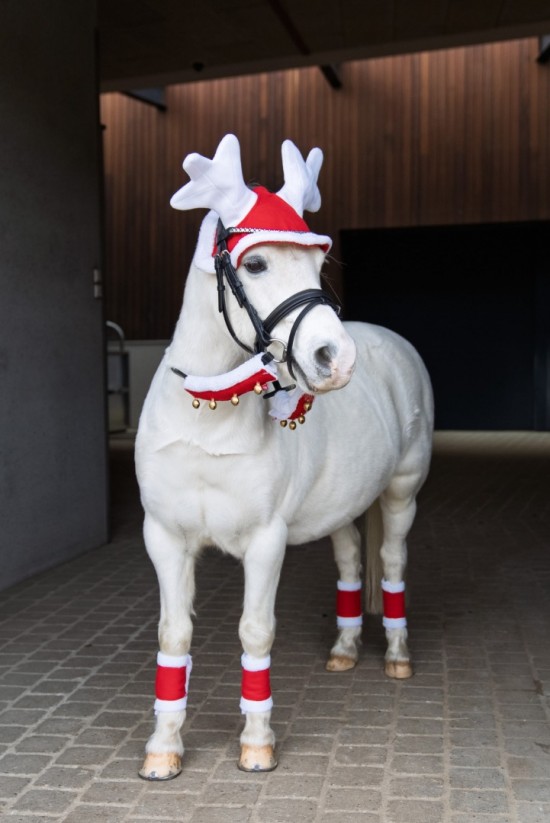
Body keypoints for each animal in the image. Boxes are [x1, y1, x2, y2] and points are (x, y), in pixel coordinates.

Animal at [134, 133, 434, 780]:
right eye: (254, 264)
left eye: (319, 267)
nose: (336, 359)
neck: (208, 416)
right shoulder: (165, 538)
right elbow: (173, 637)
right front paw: (163, 750)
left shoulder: (264, 542)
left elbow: (255, 632)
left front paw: (256, 744)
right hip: (343, 505)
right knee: (350, 562)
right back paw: (345, 648)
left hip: (401, 492)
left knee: (392, 562)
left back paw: (397, 655)